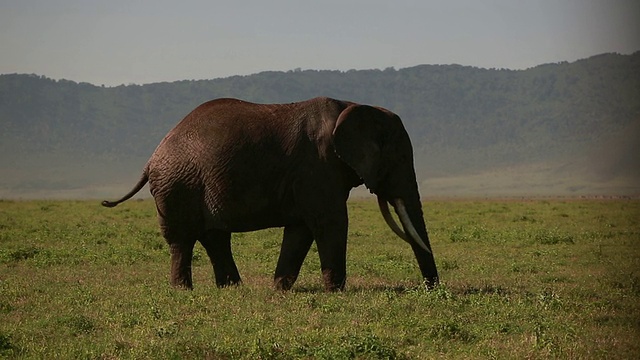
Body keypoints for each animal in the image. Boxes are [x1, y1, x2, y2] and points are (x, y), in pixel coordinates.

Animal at [101, 97, 440, 292]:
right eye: (397, 158)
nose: (432, 290)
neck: (353, 107)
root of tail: (151, 159)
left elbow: (301, 229)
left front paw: (280, 289)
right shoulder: (317, 166)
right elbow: (330, 222)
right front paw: (336, 292)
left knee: (215, 236)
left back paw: (232, 289)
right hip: (177, 186)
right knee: (182, 239)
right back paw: (184, 291)